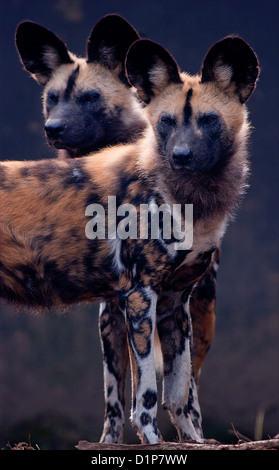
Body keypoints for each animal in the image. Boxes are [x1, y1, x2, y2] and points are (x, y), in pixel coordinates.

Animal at [0, 35, 260, 440]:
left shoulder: (175, 302)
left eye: (209, 120)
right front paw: (154, 442)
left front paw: (194, 442)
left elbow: (180, 393)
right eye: (166, 122)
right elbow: (147, 396)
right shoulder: (139, 297)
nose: (181, 156)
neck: (190, 199)